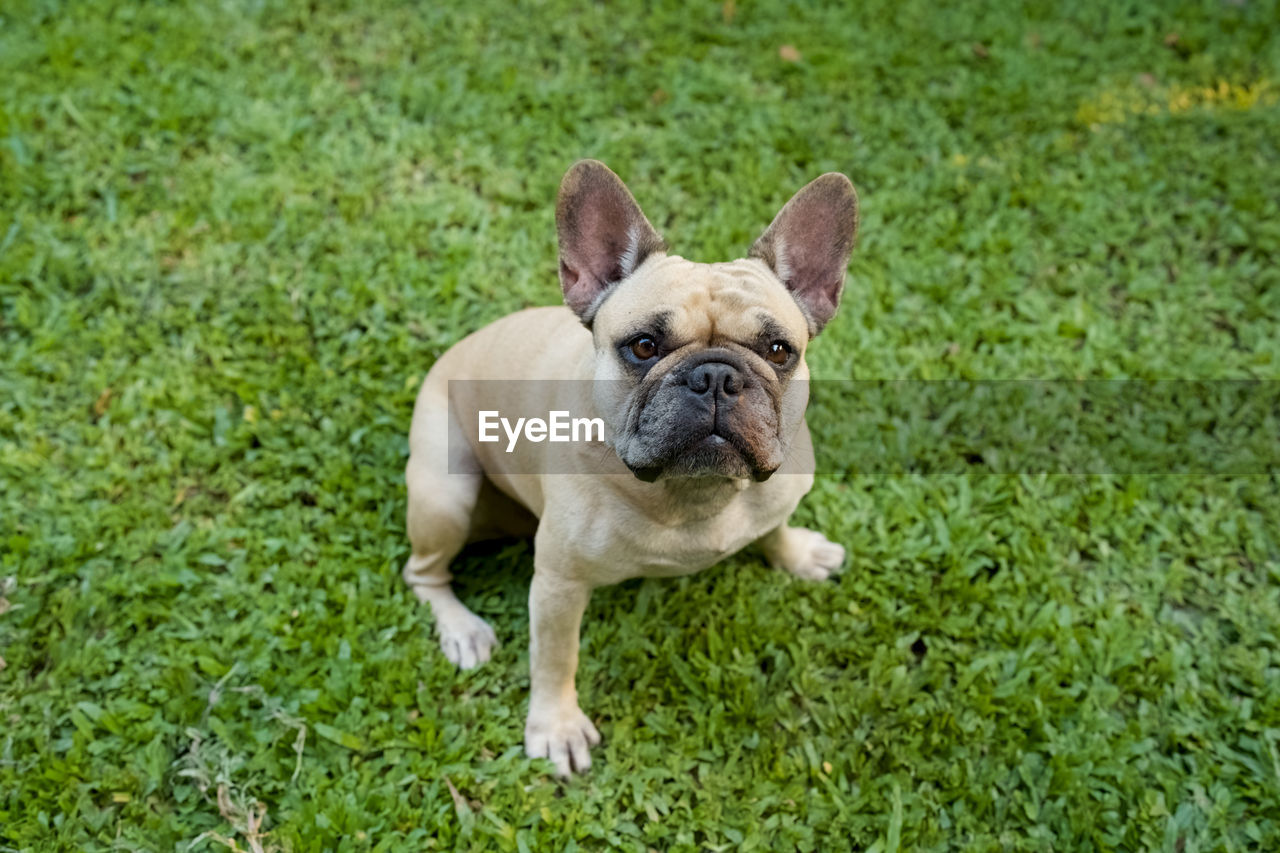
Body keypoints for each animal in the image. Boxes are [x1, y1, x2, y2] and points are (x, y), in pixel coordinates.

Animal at [399, 157, 860, 768]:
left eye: (779, 351)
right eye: (643, 347)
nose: (716, 375)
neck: (697, 493)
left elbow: (775, 525)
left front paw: (797, 554)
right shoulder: (559, 584)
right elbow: (555, 658)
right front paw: (556, 725)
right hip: (445, 498)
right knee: (425, 572)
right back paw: (462, 628)